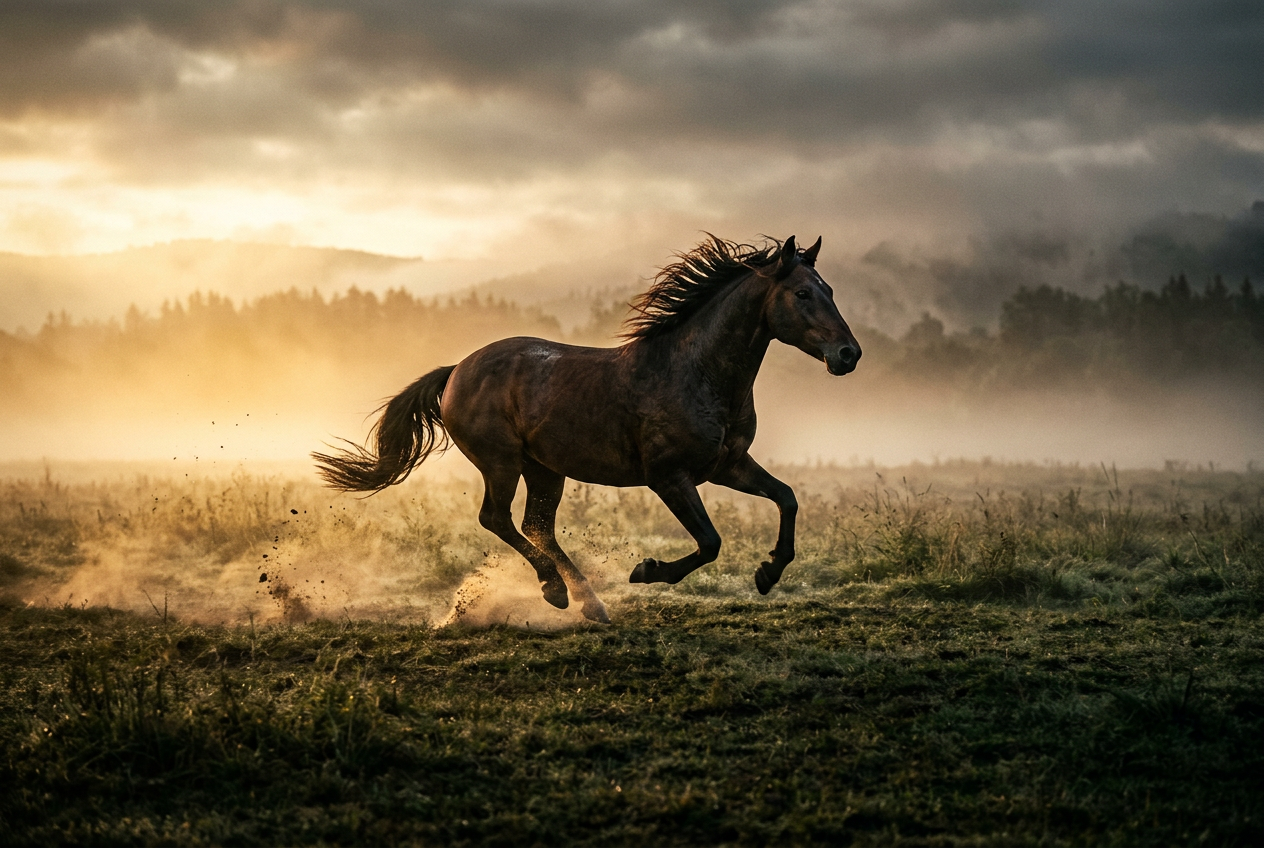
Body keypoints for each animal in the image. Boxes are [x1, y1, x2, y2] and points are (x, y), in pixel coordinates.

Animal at [313, 235, 861, 622]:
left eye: (832, 290)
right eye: (803, 293)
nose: (848, 354)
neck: (695, 372)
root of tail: (455, 372)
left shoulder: (727, 465)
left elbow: (787, 497)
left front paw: (768, 573)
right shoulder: (669, 476)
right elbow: (710, 542)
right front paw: (646, 571)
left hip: (544, 469)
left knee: (536, 525)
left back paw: (588, 603)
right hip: (501, 462)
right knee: (497, 519)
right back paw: (556, 591)